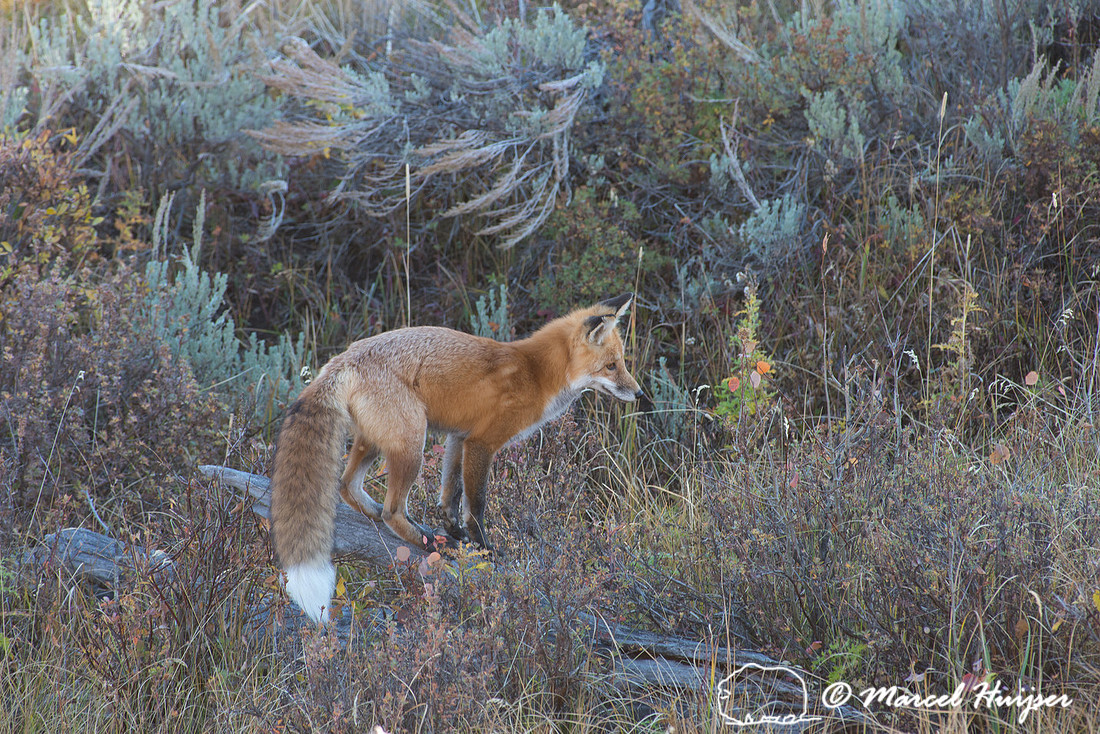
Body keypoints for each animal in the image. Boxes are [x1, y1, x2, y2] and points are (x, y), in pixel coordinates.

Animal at [270, 293, 642, 623]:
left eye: (622, 362)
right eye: (611, 366)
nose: (639, 393)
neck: (536, 374)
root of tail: (342, 359)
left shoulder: (458, 437)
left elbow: (450, 495)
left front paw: (456, 531)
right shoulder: (481, 443)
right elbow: (476, 504)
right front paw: (482, 547)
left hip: (375, 441)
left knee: (347, 486)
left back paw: (384, 517)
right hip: (412, 444)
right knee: (392, 509)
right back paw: (426, 540)